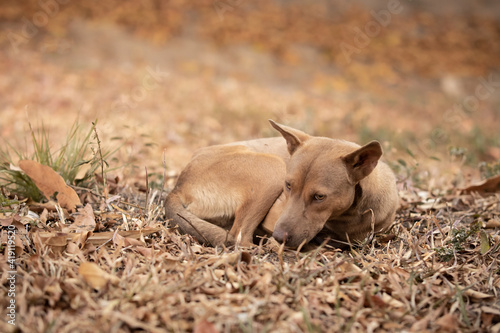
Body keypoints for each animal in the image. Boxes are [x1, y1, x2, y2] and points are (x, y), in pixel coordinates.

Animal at [164, 119, 398, 246]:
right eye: (288, 186)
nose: (277, 237)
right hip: (272, 170)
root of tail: (178, 186)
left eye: (319, 197)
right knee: (239, 237)